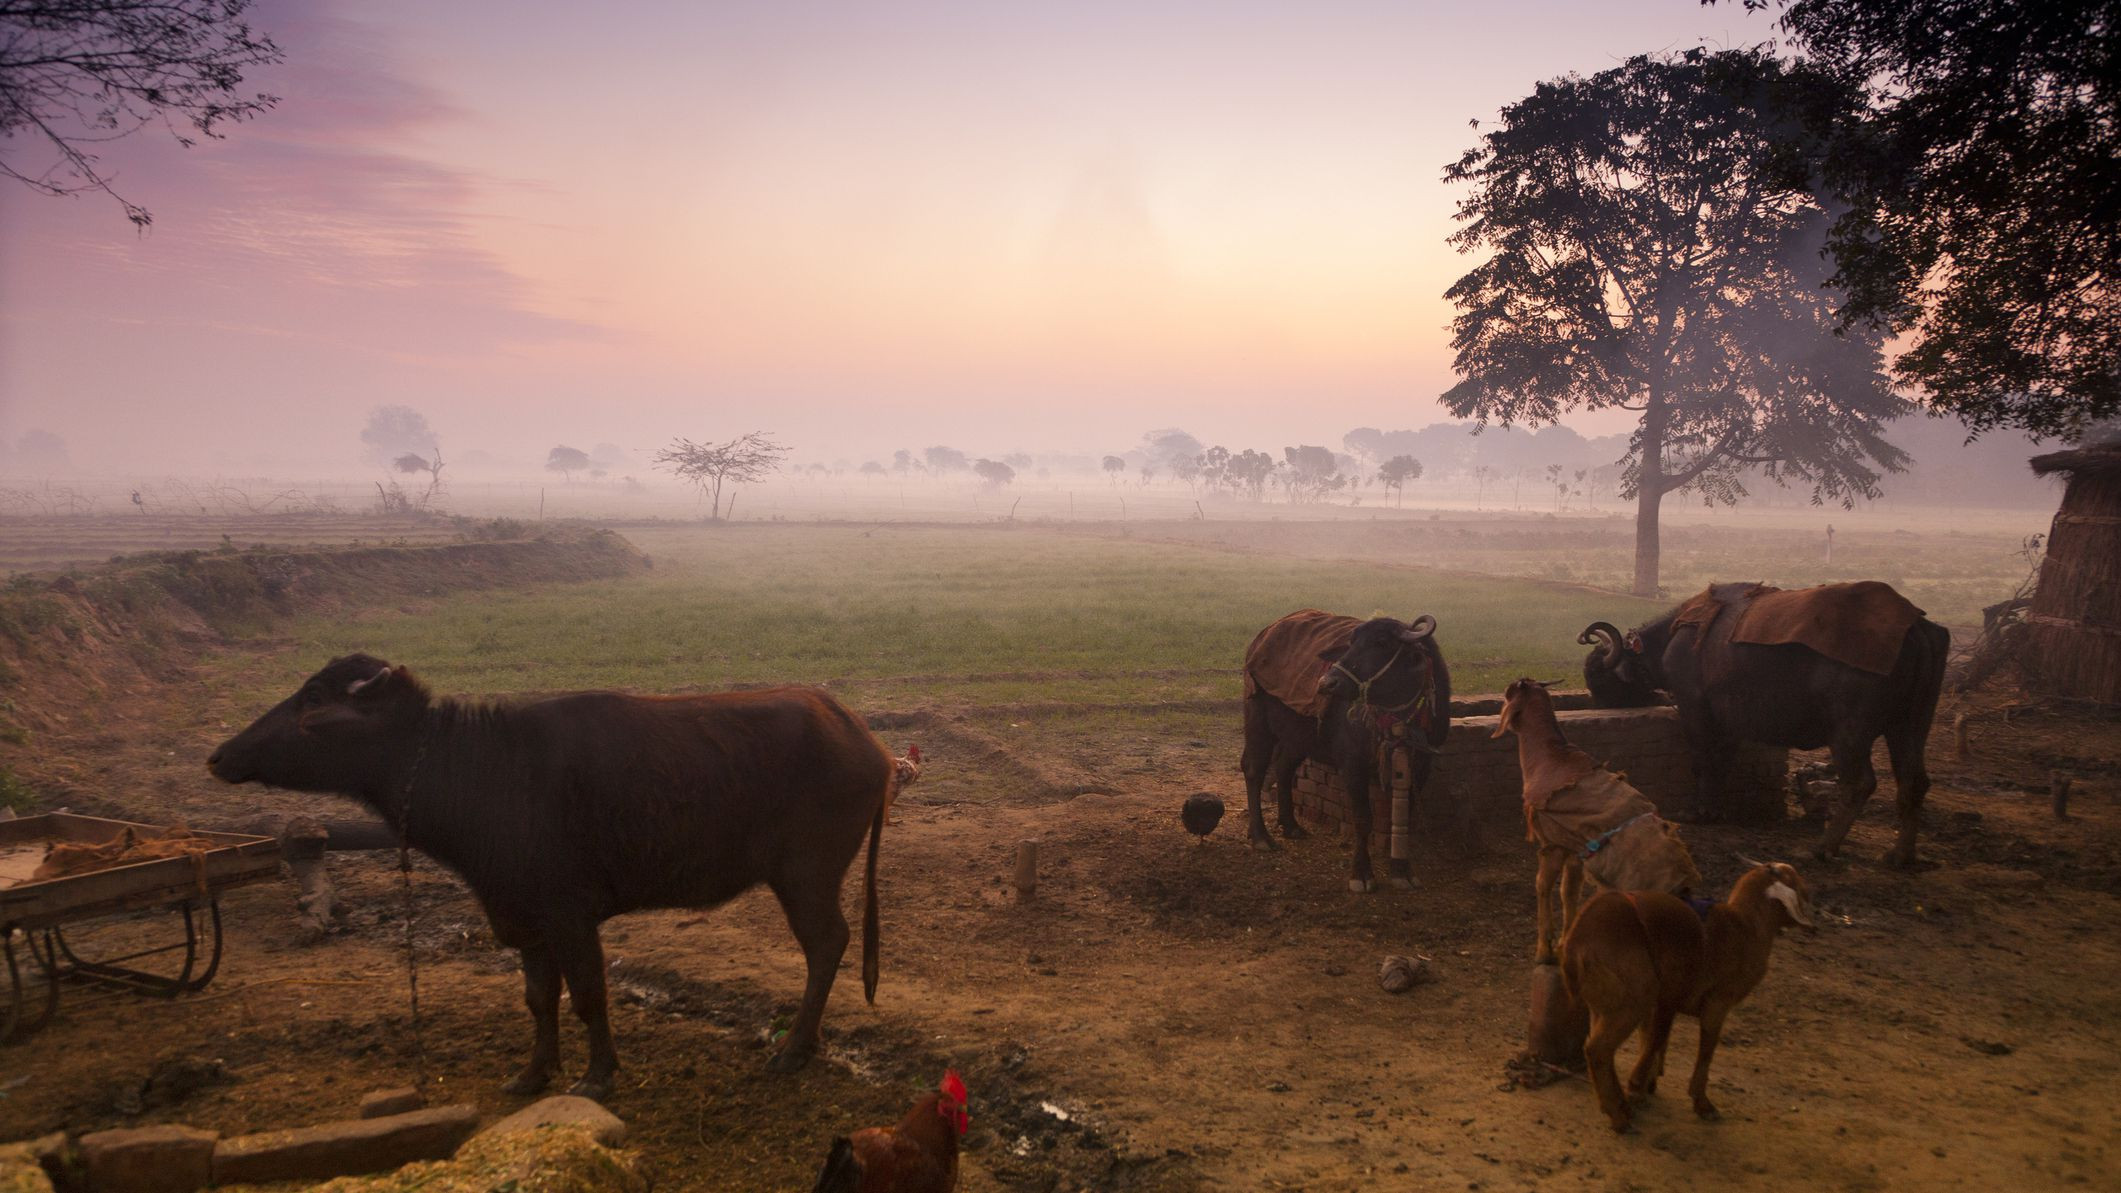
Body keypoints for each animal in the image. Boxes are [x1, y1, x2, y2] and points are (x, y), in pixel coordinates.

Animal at [202, 653, 890, 1103]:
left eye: (315, 700)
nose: (219, 755)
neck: (477, 771)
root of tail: (864, 739)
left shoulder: (569, 915)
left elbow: (587, 994)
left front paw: (597, 1075)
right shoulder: (520, 917)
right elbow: (539, 999)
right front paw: (533, 1074)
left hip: (806, 874)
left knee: (827, 943)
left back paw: (794, 1048)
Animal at [1238, 611, 1450, 883]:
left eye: (1381, 642)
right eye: (1352, 643)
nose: (1327, 683)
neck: (1399, 716)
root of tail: (1263, 636)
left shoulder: (1422, 764)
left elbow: (1406, 812)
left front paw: (1401, 869)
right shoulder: (1352, 764)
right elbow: (1362, 818)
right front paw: (1361, 873)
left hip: (1299, 736)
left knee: (1284, 768)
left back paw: (1291, 825)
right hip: (1257, 719)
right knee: (1254, 770)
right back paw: (1261, 837)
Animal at [1493, 675, 1705, 959]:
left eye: (1509, 692)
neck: (1549, 758)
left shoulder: (1553, 844)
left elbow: (1543, 887)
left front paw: (1544, 949)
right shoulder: (1576, 849)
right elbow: (1569, 892)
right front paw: (1564, 943)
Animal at [1561, 857, 1824, 1129]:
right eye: (1795, 880)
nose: (1814, 901)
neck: (1746, 928)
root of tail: (1574, 946)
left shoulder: (1666, 1000)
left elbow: (1655, 1039)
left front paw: (1641, 1086)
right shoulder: (1717, 1001)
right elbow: (1705, 1049)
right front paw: (1701, 1103)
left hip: (1605, 999)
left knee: (1598, 1046)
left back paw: (1617, 1104)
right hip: (1632, 998)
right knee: (1598, 1050)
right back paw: (1619, 1116)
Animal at [1586, 577, 1942, 861]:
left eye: (1602, 681)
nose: (1601, 705)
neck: (1679, 635)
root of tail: (1913, 629)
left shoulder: (1693, 706)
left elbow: (1702, 758)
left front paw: (1697, 811)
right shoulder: (1731, 720)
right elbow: (1722, 761)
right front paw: (1714, 809)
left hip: (1849, 733)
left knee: (1859, 783)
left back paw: (1823, 847)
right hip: (1911, 726)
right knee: (1914, 780)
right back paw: (1900, 855)